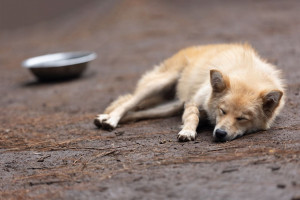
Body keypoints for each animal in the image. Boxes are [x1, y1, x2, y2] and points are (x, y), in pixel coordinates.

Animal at [95, 43, 284, 142]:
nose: (220, 134)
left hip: (170, 107)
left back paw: (104, 119)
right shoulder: (194, 102)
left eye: (242, 118)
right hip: (158, 84)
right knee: (128, 103)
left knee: (137, 112)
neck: (248, 74)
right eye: (222, 111)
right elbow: (193, 117)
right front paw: (188, 132)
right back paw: (110, 120)